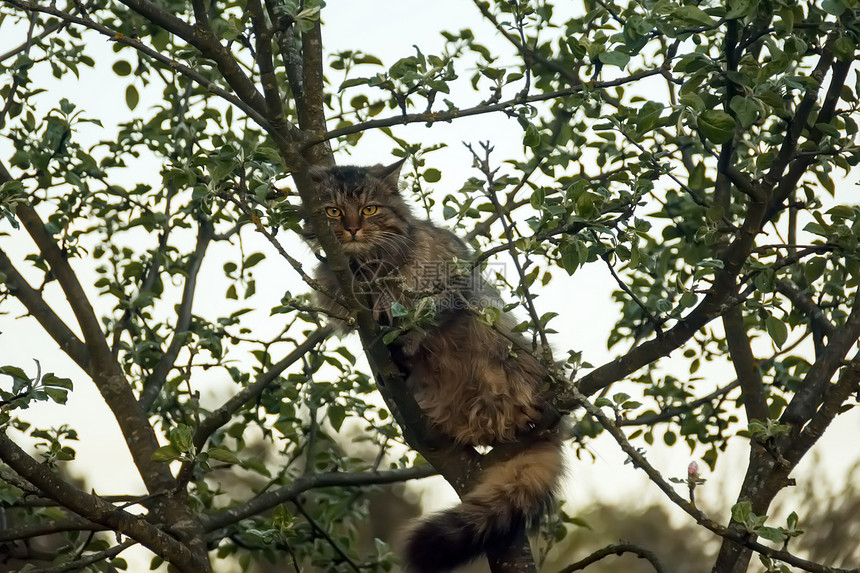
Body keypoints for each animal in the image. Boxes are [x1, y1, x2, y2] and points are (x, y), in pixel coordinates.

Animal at [304, 160, 564, 572]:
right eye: (331, 211)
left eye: (369, 210)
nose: (352, 228)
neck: (366, 267)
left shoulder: (449, 288)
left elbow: (423, 321)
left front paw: (404, 338)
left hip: (507, 345)